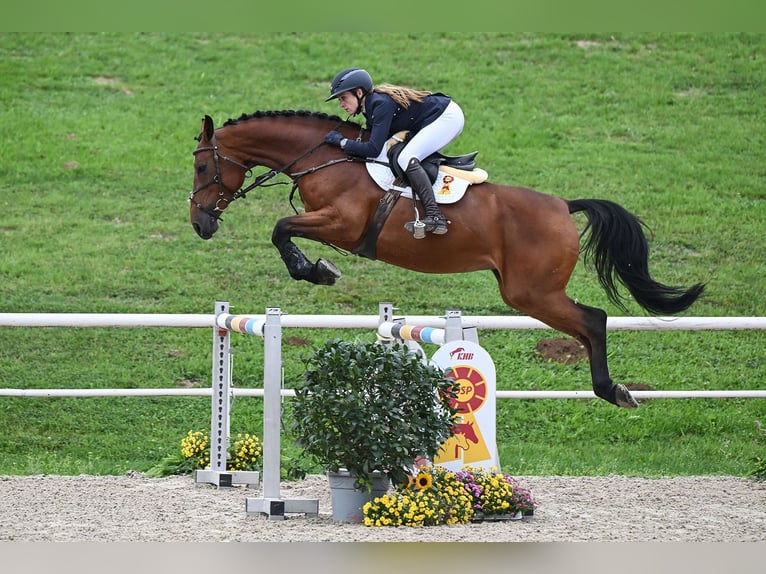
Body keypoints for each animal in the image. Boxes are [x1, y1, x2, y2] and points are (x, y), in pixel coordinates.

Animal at [189, 110, 704, 412]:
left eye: (200, 166)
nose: (199, 223)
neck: (329, 157)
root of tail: (563, 205)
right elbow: (282, 229)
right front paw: (316, 269)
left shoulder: (342, 223)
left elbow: (280, 228)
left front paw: (316, 271)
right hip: (528, 292)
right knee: (587, 324)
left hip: (532, 292)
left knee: (593, 320)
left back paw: (613, 391)